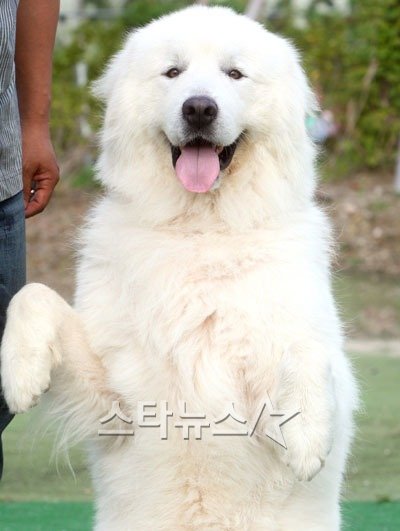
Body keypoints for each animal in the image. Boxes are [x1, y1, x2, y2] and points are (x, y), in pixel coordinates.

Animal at [1, 6, 358, 530]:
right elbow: (32, 295)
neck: (200, 232)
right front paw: (22, 375)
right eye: (173, 72)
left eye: (235, 74)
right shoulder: (113, 402)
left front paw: (308, 436)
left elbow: (309, 350)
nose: (199, 109)